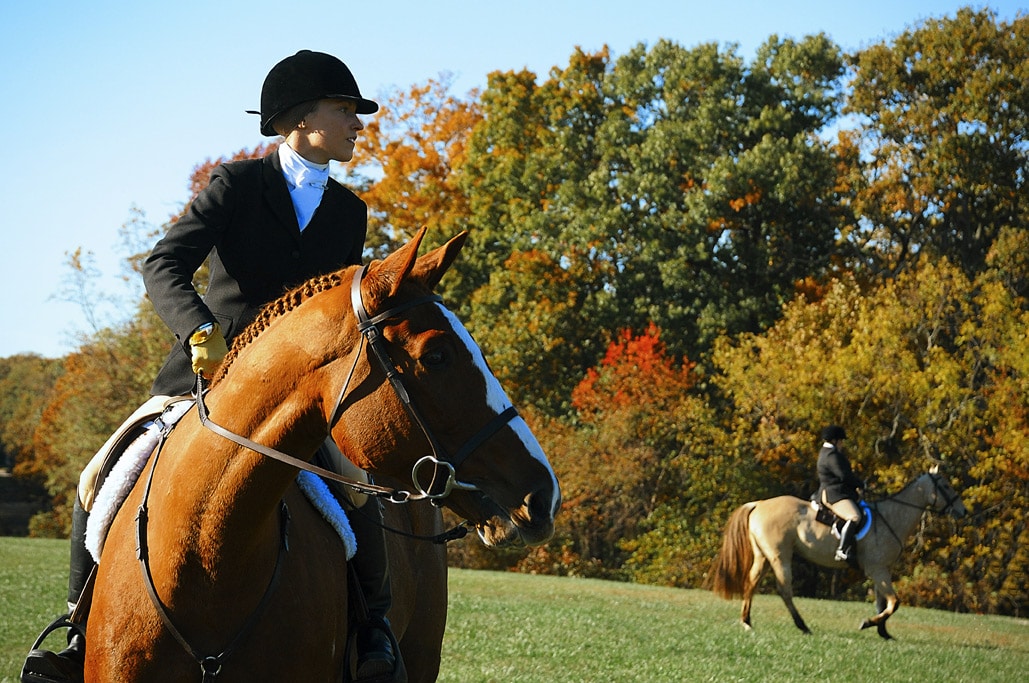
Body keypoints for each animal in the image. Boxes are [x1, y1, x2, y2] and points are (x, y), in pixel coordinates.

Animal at [707, 466, 963, 637]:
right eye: (946, 486)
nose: (963, 511)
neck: (891, 517)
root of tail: (759, 503)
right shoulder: (878, 570)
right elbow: (894, 602)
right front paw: (868, 624)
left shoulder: (881, 571)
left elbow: (883, 603)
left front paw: (883, 632)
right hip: (780, 556)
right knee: (784, 590)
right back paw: (802, 626)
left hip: (764, 556)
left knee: (751, 583)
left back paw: (747, 622)